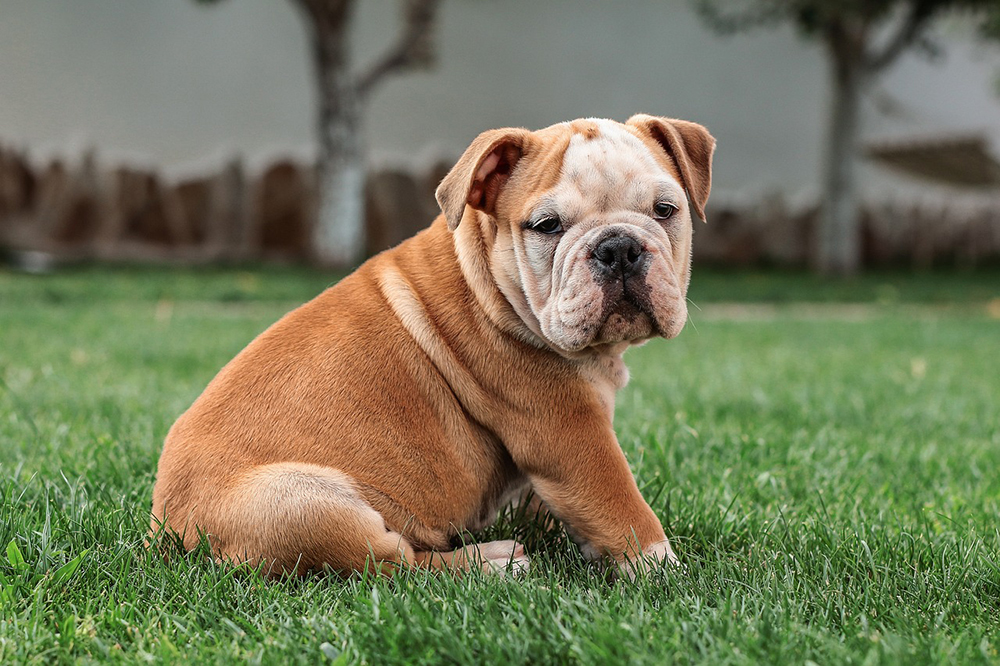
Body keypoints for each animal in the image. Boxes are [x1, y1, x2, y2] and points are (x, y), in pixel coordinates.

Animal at [150, 114, 712, 576]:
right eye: (547, 225)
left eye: (666, 210)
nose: (619, 247)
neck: (489, 279)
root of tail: (168, 531)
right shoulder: (571, 432)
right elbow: (621, 504)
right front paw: (662, 572)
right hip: (303, 504)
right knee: (394, 565)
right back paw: (491, 562)